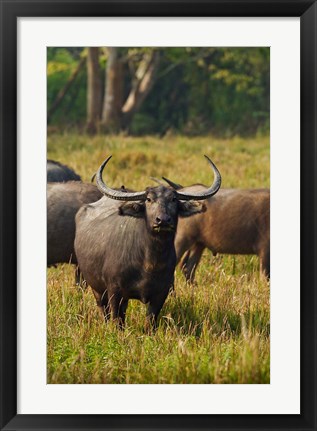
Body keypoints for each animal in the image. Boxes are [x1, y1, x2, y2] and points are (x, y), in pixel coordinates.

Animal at [74, 157, 221, 330]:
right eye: (149, 199)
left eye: (173, 199)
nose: (162, 220)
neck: (149, 262)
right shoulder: (114, 291)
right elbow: (116, 320)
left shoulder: (161, 293)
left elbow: (150, 322)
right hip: (95, 286)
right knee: (104, 310)